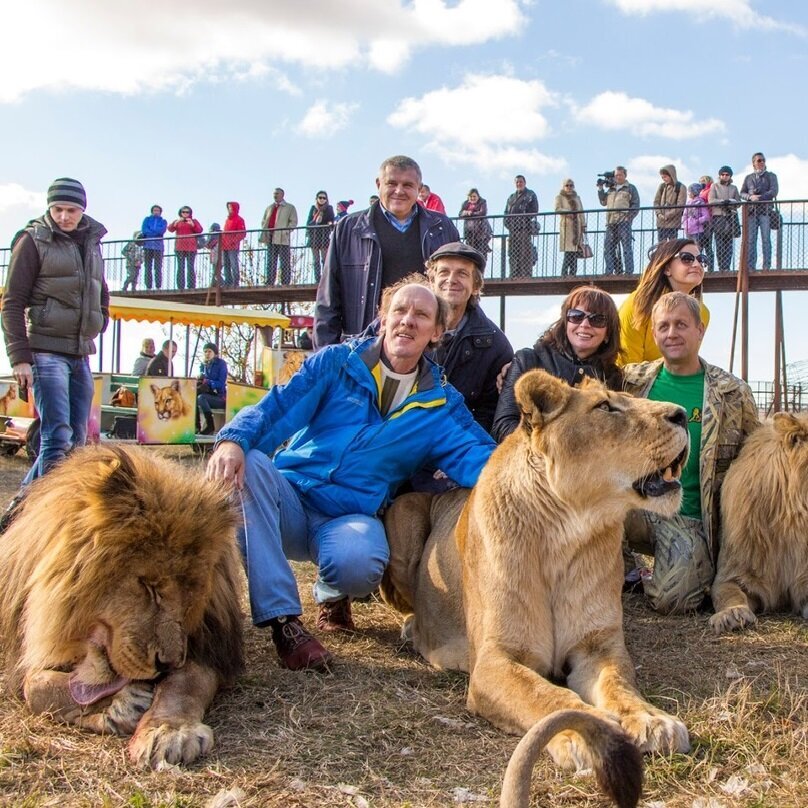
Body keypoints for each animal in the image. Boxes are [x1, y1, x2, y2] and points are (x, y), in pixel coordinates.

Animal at [0, 446, 243, 768]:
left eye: (191, 600)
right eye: (150, 587)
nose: (165, 665)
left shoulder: (210, 645)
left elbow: (186, 683)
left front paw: (169, 732)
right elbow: (37, 687)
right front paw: (120, 706)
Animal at [382, 372, 692, 808]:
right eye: (605, 407)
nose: (682, 414)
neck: (566, 532)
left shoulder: (598, 648)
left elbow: (620, 684)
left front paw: (651, 719)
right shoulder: (494, 662)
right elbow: (546, 696)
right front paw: (589, 734)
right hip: (404, 519)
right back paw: (412, 629)